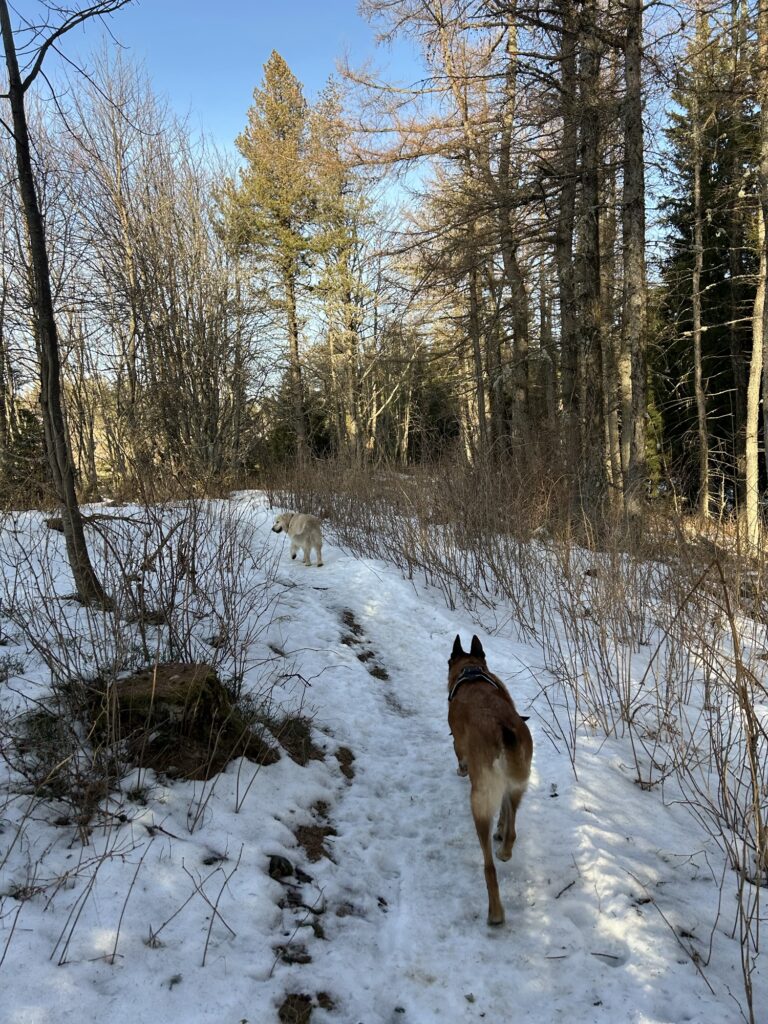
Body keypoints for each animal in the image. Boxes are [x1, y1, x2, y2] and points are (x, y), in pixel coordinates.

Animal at [448, 634, 532, 925]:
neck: (472, 672)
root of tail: (503, 730)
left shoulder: (459, 744)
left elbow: (459, 755)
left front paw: (460, 769)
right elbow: (506, 814)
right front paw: (501, 830)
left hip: (480, 800)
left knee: (488, 867)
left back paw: (495, 913)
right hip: (517, 783)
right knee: (513, 823)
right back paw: (505, 848)